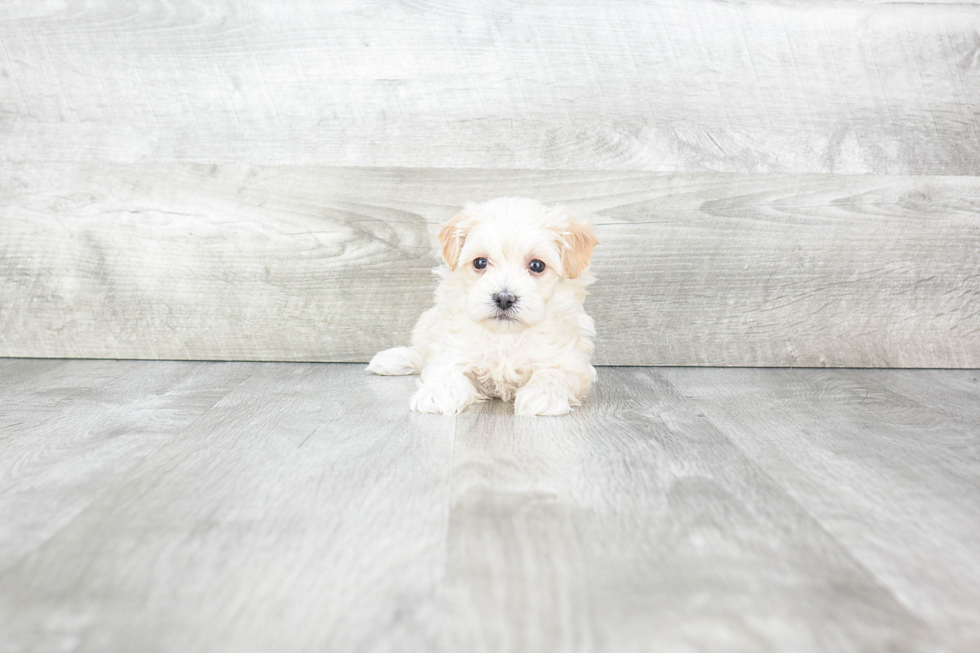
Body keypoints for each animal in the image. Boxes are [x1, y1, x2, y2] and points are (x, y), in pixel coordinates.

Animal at [366, 196, 596, 416]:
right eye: (480, 262)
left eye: (537, 265)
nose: (504, 298)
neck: (505, 336)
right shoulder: (453, 347)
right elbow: (446, 368)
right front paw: (437, 394)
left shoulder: (572, 363)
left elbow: (554, 372)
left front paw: (543, 396)